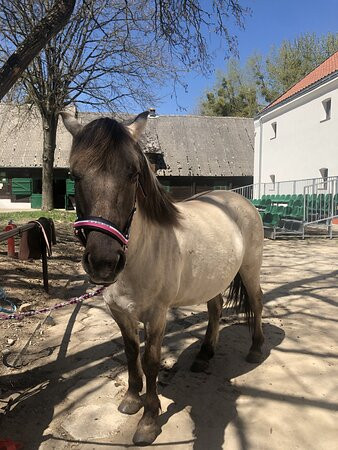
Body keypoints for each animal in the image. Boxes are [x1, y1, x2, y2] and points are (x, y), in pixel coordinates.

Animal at [61, 110, 264, 446]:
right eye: (75, 175)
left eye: (133, 174)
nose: (104, 262)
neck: (142, 253)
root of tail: (237, 200)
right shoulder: (120, 313)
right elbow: (131, 353)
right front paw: (131, 400)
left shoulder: (157, 315)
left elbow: (151, 361)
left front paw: (148, 421)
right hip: (214, 278)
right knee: (216, 309)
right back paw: (204, 356)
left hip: (250, 268)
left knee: (257, 303)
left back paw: (256, 349)